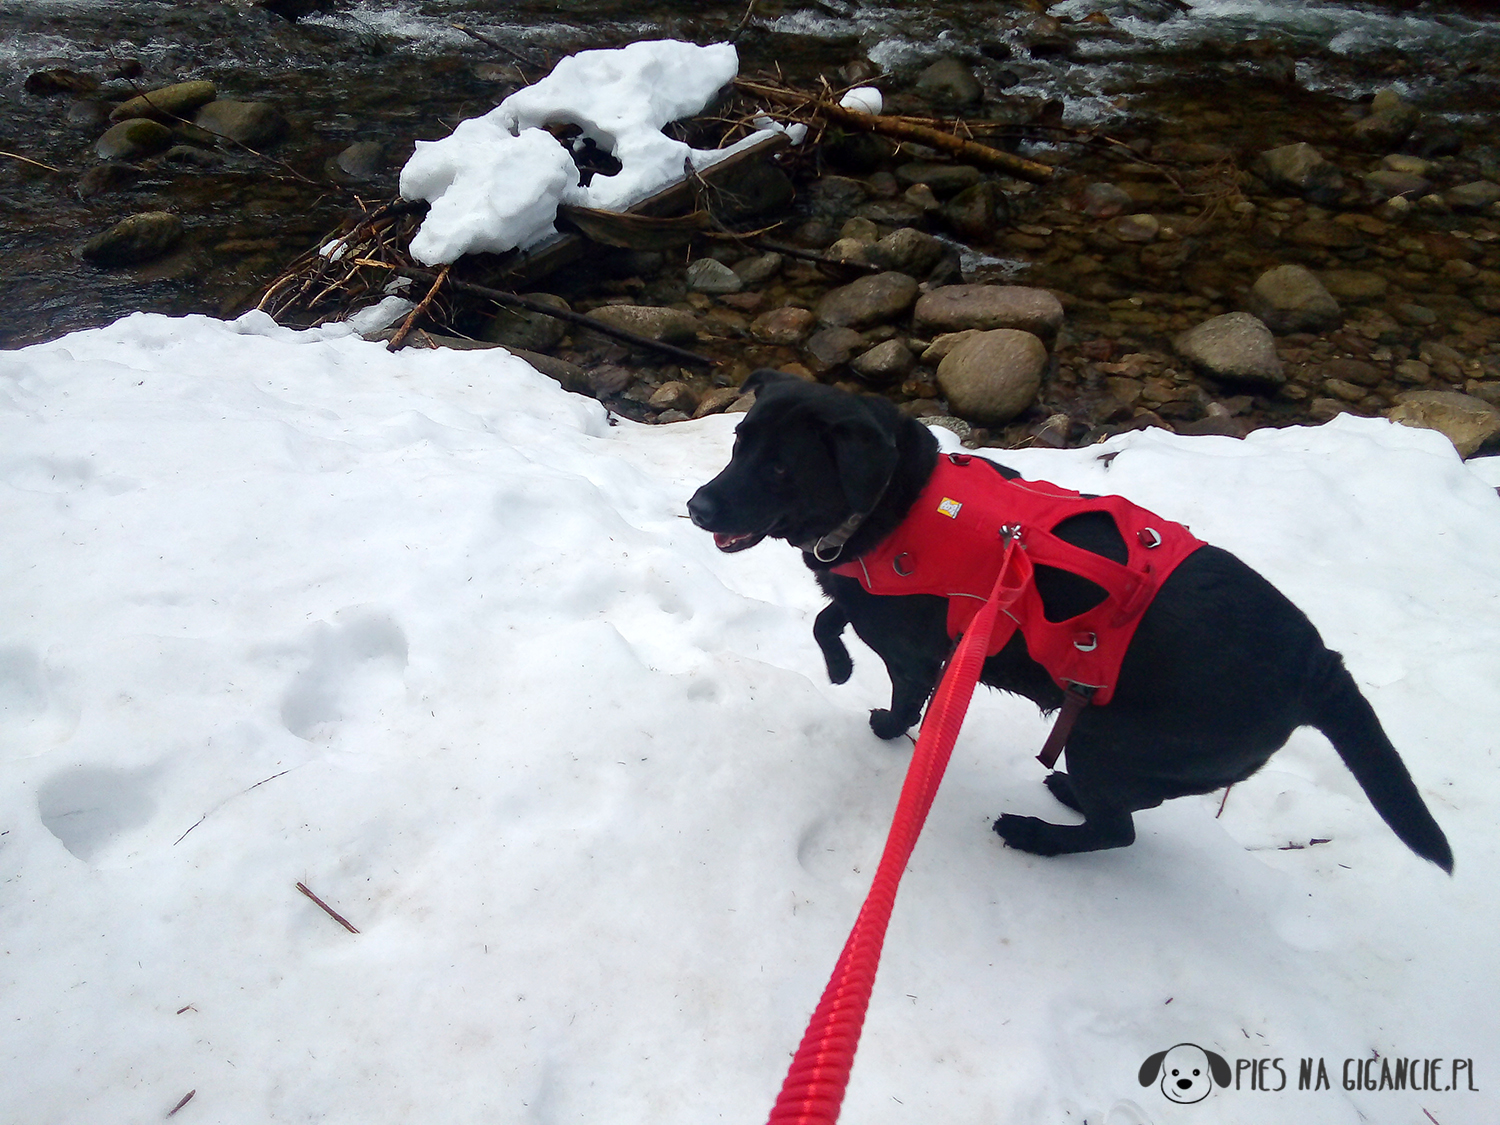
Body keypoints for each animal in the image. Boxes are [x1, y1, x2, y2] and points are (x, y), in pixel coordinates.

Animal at [690, 372, 1452, 870]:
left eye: (781, 468)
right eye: (736, 443)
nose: (696, 506)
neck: (893, 499)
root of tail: (1317, 664)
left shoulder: (913, 652)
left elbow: (888, 681)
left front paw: (877, 716)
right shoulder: (873, 602)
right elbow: (831, 615)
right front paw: (841, 663)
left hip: (1109, 741)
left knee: (1121, 829)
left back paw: (1038, 833)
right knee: (1129, 811)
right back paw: (1065, 796)